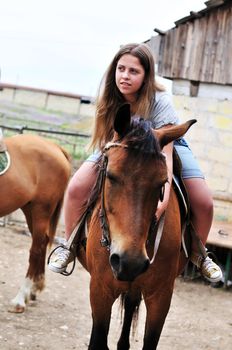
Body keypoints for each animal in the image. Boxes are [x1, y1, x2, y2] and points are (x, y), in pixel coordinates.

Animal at [0, 134, 70, 312]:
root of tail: (55, 146)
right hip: (28, 208)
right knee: (43, 242)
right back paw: (34, 288)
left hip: (41, 210)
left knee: (36, 249)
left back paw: (20, 299)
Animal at [77, 104, 197, 350]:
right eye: (111, 176)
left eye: (162, 182)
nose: (129, 261)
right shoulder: (100, 290)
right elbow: (97, 340)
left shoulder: (161, 296)